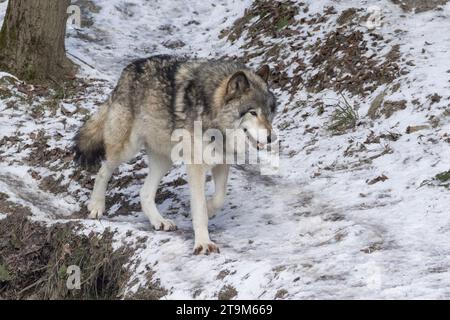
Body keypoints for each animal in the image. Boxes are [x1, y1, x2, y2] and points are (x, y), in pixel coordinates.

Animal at [74, 55, 278, 255]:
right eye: (253, 113)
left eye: (269, 112)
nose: (271, 138)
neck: (211, 112)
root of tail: (127, 71)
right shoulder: (196, 167)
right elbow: (199, 208)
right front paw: (203, 243)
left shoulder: (222, 162)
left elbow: (220, 197)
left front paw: (209, 210)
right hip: (126, 149)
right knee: (103, 170)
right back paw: (96, 207)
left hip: (164, 160)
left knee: (144, 193)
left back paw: (160, 221)